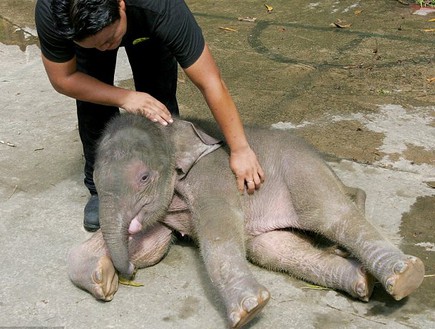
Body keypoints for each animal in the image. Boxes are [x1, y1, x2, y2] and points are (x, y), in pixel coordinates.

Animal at [68, 113, 426, 328]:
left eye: (144, 177)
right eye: (94, 181)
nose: (126, 272)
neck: (174, 127)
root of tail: (329, 168)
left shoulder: (213, 176)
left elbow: (220, 231)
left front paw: (250, 309)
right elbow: (155, 246)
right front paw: (102, 279)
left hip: (302, 171)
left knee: (330, 214)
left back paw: (404, 276)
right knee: (273, 249)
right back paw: (362, 281)